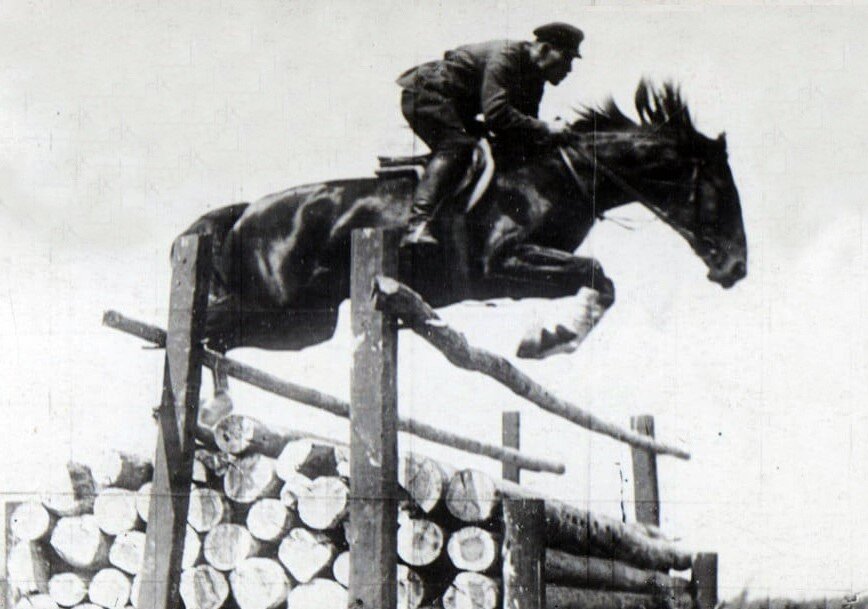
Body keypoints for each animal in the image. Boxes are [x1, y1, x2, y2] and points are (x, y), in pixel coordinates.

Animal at [178, 79, 744, 358]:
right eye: (721, 192)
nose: (736, 268)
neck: (558, 172)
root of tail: (245, 213)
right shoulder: (503, 262)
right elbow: (597, 273)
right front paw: (546, 343)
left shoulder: (524, 275)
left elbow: (598, 282)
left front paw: (549, 339)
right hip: (274, 304)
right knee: (202, 326)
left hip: (305, 323)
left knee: (219, 339)